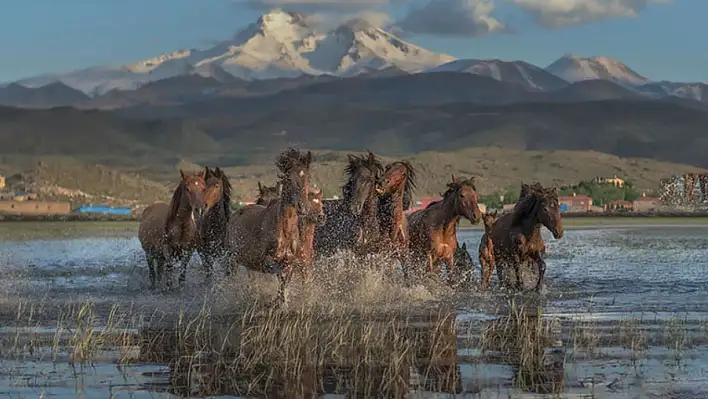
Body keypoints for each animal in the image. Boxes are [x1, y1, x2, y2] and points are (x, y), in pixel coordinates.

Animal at [225, 148, 312, 304]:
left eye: (307, 178)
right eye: (288, 179)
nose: (303, 207)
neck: (285, 231)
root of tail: (235, 215)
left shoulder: (290, 262)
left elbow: (284, 282)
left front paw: (282, 301)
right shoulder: (267, 261)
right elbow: (278, 274)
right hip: (232, 259)